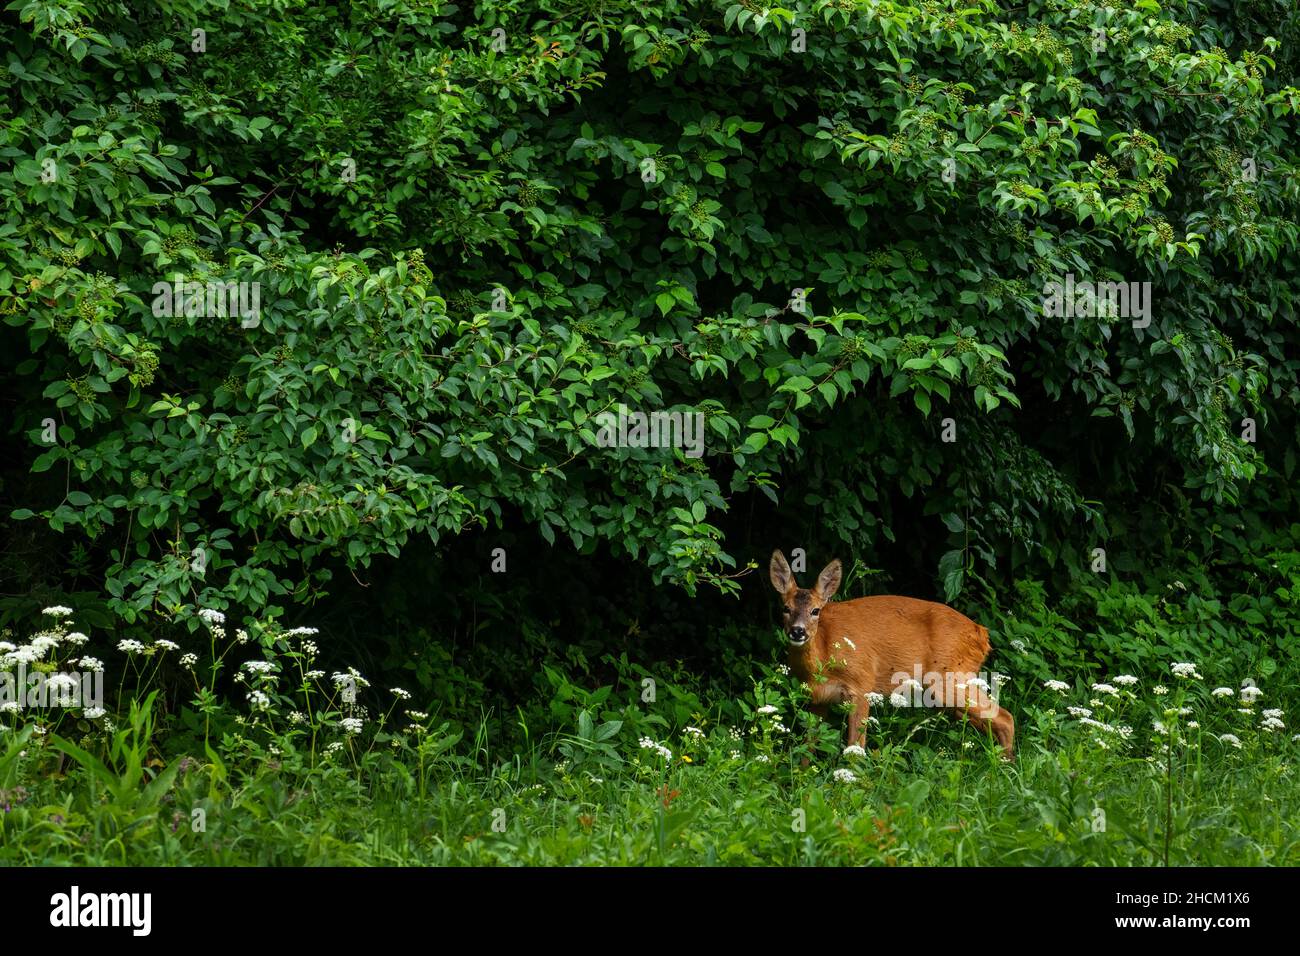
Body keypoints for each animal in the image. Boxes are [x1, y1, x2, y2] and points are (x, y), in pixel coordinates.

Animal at [769, 548, 1013, 759]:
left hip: (948, 678)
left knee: (1005, 717)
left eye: (815, 610)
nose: (797, 631)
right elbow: (808, 748)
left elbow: (855, 747)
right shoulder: (817, 698)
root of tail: (982, 634)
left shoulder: (862, 684)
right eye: (785, 608)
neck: (824, 653)